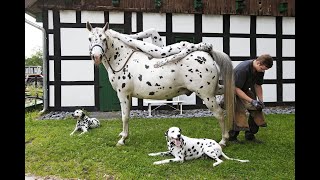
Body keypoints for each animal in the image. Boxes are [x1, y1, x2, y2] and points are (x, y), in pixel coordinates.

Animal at [85, 21, 235, 147]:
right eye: (89, 39)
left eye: (104, 39)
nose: (96, 57)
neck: (122, 59)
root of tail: (208, 56)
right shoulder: (128, 95)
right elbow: (127, 116)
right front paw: (123, 135)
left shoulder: (123, 94)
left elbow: (124, 116)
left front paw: (122, 140)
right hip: (214, 90)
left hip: (206, 95)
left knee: (220, 114)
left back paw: (223, 140)